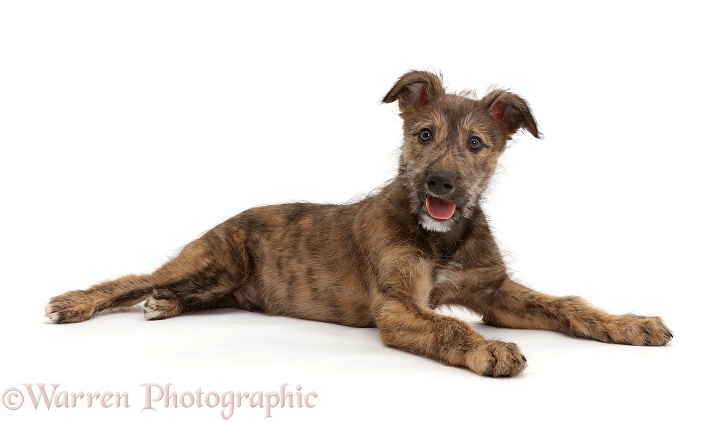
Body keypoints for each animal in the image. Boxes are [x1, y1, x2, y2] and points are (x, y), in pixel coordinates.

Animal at [44, 71, 672, 378]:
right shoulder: (397, 306)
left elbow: (568, 304)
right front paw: (488, 351)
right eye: (423, 135)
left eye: (476, 144)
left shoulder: (495, 292)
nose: (440, 184)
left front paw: (631, 324)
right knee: (133, 280)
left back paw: (165, 306)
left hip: (221, 282)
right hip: (213, 258)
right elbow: (450, 327)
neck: (439, 238)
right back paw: (76, 302)